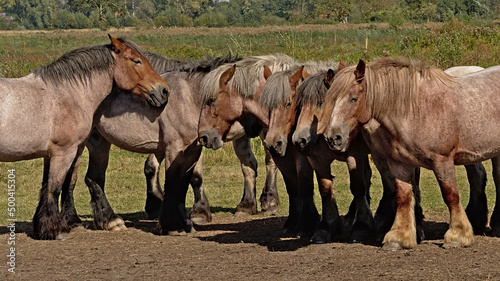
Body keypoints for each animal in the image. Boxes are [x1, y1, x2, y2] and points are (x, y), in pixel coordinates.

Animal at [0, 34, 169, 238]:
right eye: (136, 61)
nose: (164, 91)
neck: (66, 95)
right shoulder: (63, 152)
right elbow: (54, 187)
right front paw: (53, 230)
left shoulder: (63, 152)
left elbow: (61, 183)